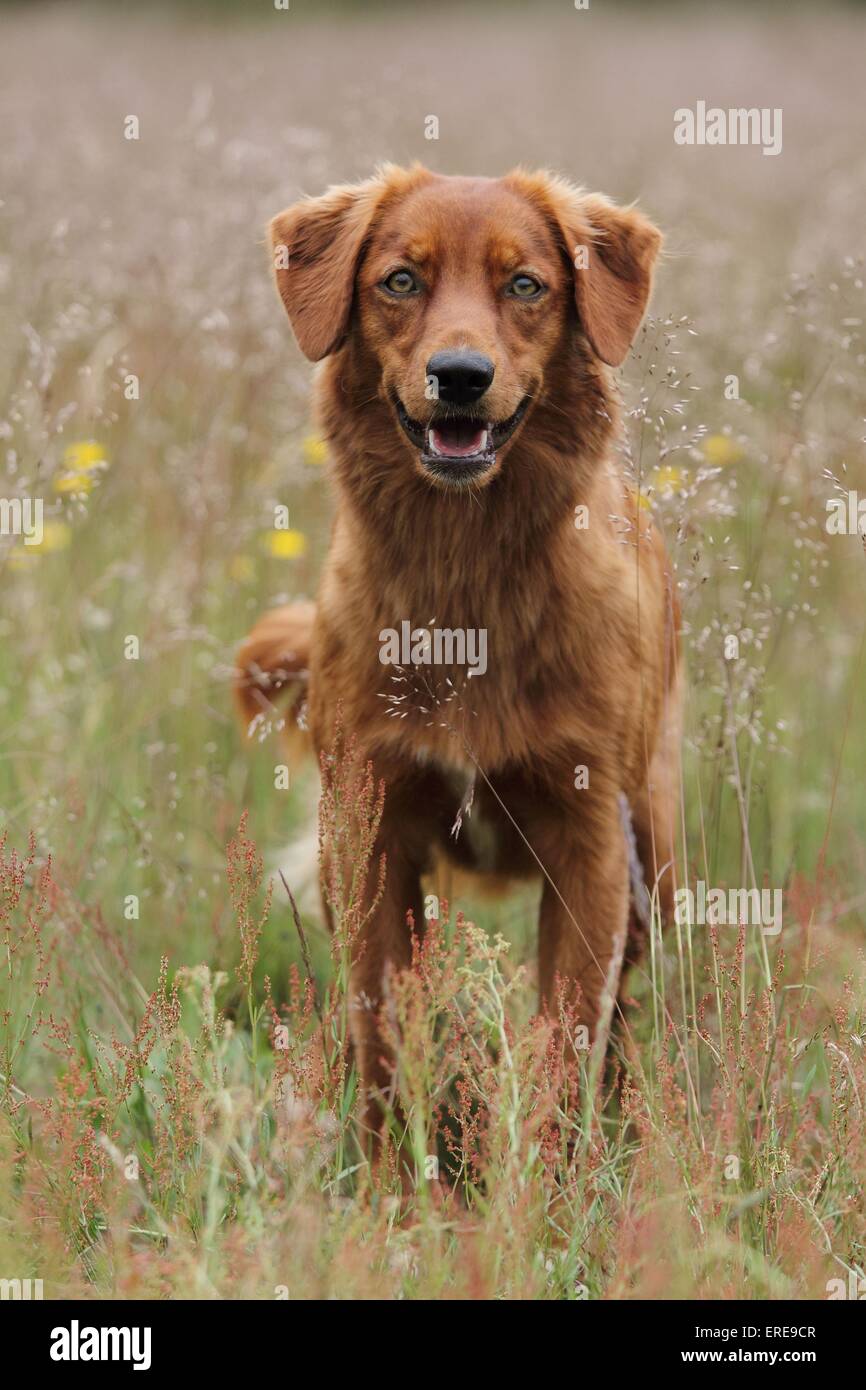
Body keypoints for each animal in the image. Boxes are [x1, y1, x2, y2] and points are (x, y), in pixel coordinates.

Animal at [237, 162, 683, 1123]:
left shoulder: (591, 843)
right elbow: (383, 1037)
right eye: (401, 280)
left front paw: (542, 1162)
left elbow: (564, 1041)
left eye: (527, 286)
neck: (466, 578)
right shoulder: (367, 835)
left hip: (654, 850)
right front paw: (393, 1161)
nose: (462, 376)